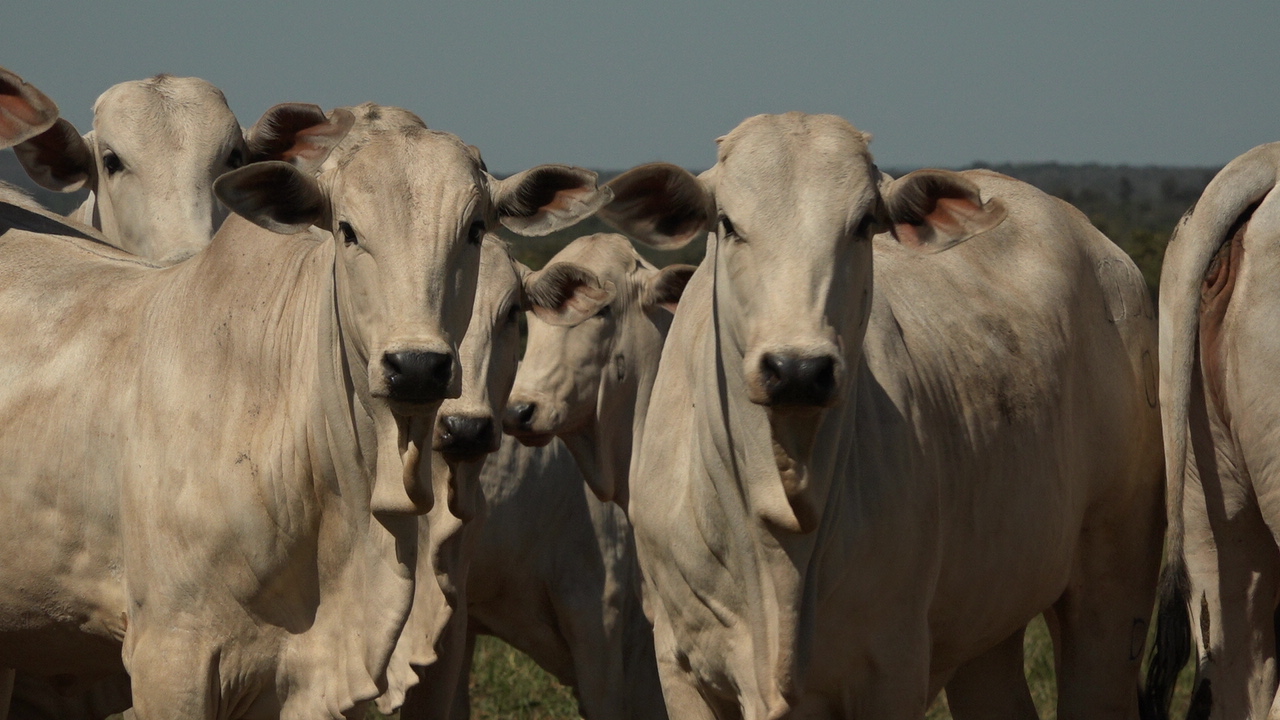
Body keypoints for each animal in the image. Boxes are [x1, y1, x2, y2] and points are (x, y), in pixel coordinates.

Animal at [593, 109, 1167, 712]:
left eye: (865, 223)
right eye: (727, 222)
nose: (798, 370)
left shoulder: (891, 668)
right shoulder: (681, 667)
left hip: (1114, 585)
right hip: (988, 625)